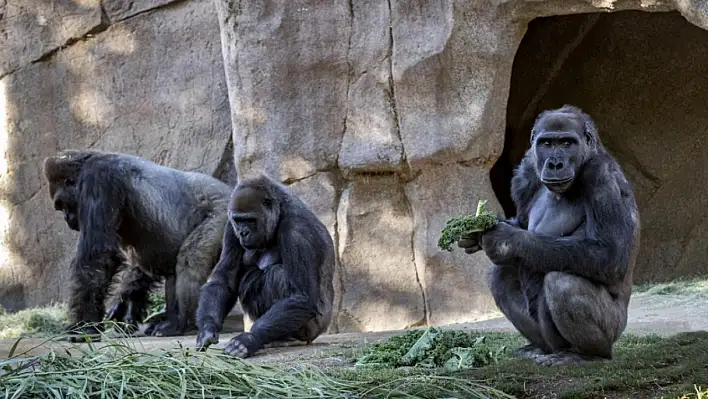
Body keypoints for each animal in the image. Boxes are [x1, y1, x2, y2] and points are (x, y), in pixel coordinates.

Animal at [43, 148, 232, 342]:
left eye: (62, 204)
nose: (67, 219)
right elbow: (142, 263)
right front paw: (124, 303)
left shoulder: (99, 178)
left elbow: (98, 256)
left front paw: (84, 325)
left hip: (223, 212)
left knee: (190, 260)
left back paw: (181, 322)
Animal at [195, 175, 336, 360]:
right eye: (238, 220)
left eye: (250, 220)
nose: (243, 233)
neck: (280, 212)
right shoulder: (230, 227)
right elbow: (224, 281)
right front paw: (207, 329)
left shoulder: (297, 231)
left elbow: (301, 296)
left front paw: (249, 339)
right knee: (251, 276)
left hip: (314, 329)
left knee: (277, 274)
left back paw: (289, 338)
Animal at [460, 105, 640, 366]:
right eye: (547, 143)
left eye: (566, 143)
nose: (555, 163)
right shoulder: (527, 172)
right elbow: (522, 222)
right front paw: (477, 231)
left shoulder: (601, 174)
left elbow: (608, 253)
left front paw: (506, 240)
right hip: (547, 339)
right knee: (501, 276)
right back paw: (539, 347)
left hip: (616, 328)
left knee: (562, 282)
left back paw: (587, 355)